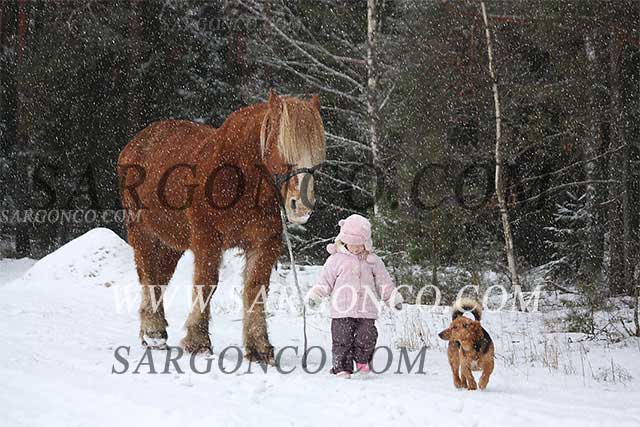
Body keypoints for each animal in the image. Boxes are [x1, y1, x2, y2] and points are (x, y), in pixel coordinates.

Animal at [117, 90, 324, 364]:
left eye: (317, 160)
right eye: (282, 149)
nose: (300, 207)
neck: (238, 177)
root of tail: (136, 144)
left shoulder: (264, 244)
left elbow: (256, 288)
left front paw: (259, 347)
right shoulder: (208, 239)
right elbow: (206, 284)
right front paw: (198, 341)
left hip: (171, 242)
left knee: (160, 278)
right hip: (143, 233)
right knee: (148, 275)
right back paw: (153, 331)